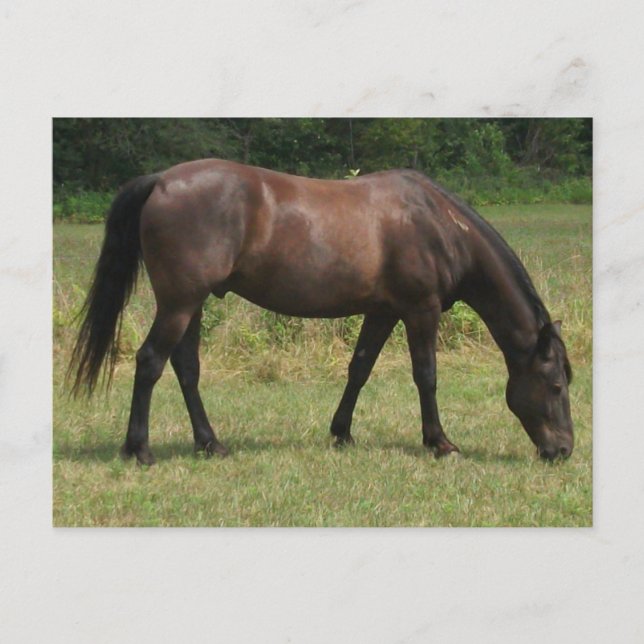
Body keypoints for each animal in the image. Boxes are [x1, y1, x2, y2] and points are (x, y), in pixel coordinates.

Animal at [70, 159, 573, 465]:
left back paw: (210, 443)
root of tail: (161, 180)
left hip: (190, 305)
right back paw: (140, 450)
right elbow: (426, 376)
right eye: (555, 385)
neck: (437, 223)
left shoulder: (383, 311)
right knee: (150, 362)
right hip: (179, 302)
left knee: (186, 368)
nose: (564, 450)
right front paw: (440, 442)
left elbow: (360, 369)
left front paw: (342, 433)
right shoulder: (420, 310)